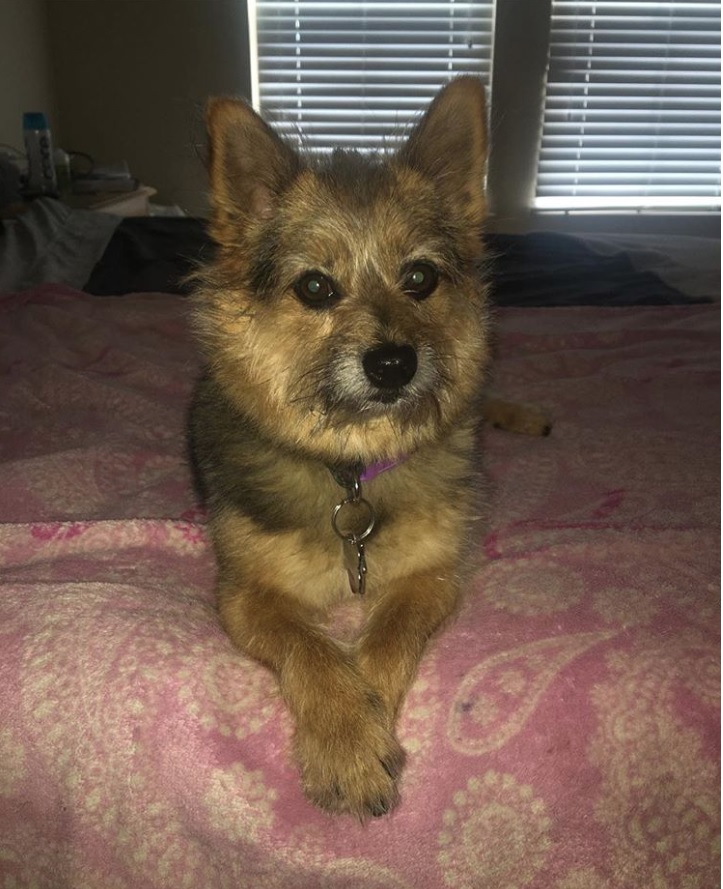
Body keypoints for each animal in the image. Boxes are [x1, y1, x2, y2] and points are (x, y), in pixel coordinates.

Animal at [189, 78, 544, 820]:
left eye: (420, 278)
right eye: (315, 287)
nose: (392, 364)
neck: (351, 466)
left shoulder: (433, 576)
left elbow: (386, 636)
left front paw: (367, 712)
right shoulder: (246, 595)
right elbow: (313, 650)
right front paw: (347, 734)